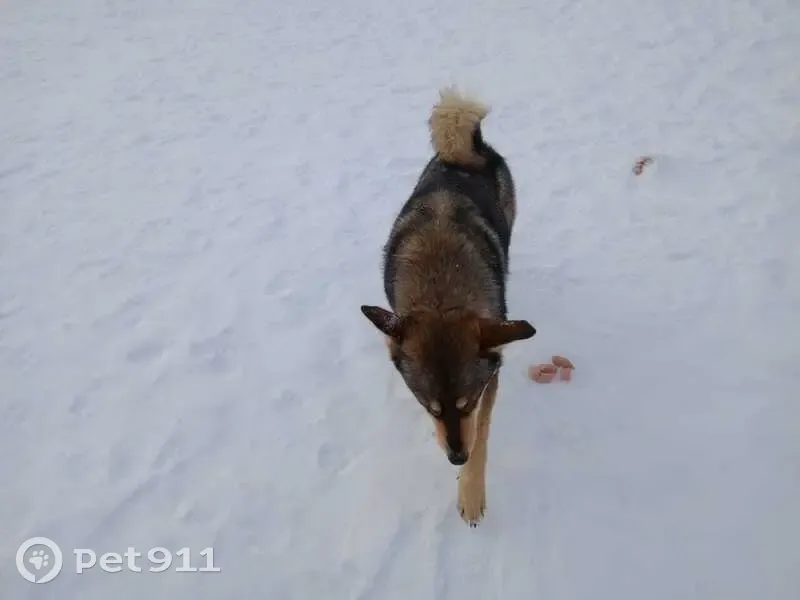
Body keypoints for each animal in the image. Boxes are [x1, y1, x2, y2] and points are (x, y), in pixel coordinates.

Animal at [360, 88, 536, 527]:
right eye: (430, 408)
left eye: (467, 402)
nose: (456, 457)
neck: (441, 294)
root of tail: (469, 151)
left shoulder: (490, 378)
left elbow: (482, 438)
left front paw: (470, 493)